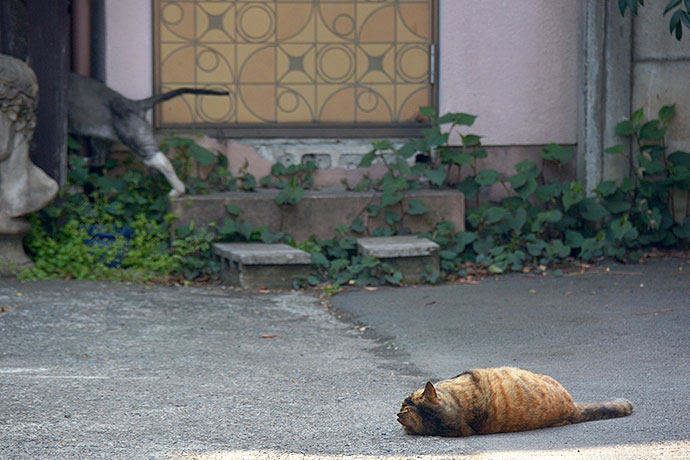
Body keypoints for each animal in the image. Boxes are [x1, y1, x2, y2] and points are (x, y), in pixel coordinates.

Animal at [67, 73, 224, 198]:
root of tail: (132, 103)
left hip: (136, 139)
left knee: (162, 162)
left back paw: (177, 191)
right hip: (99, 138)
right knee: (98, 160)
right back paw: (75, 161)